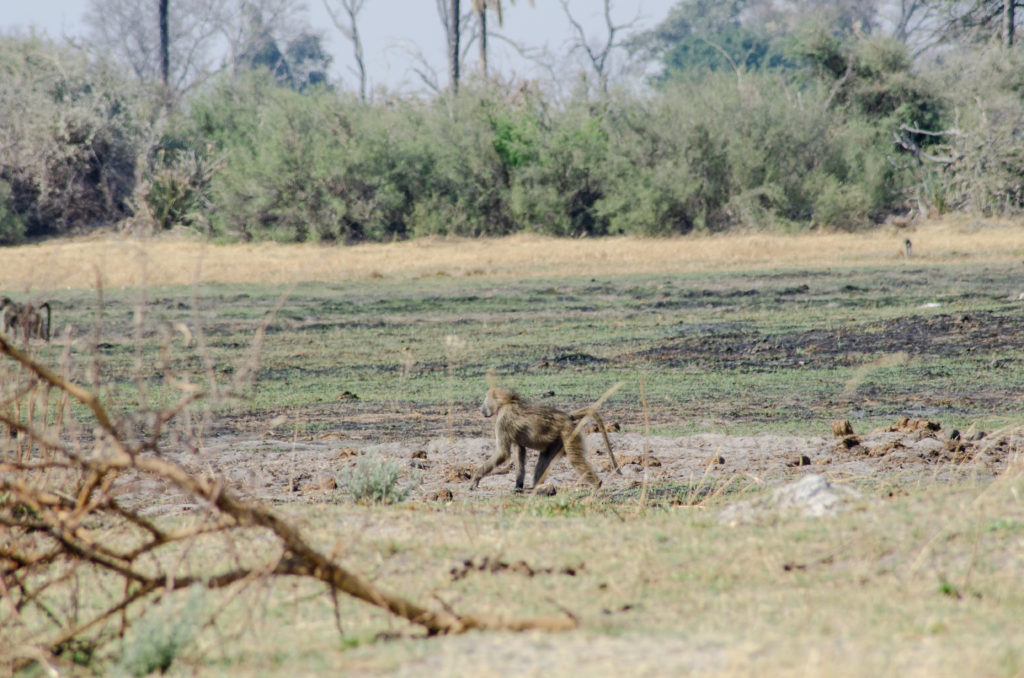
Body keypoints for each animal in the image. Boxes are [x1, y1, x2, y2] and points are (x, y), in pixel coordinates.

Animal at [471, 386, 618, 493]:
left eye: (486, 398)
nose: (480, 409)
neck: (507, 403)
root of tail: (567, 416)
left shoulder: (502, 420)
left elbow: (503, 453)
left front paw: (475, 479)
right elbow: (519, 452)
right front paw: (518, 485)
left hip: (568, 432)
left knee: (575, 459)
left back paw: (597, 485)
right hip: (557, 441)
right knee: (545, 457)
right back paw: (537, 487)